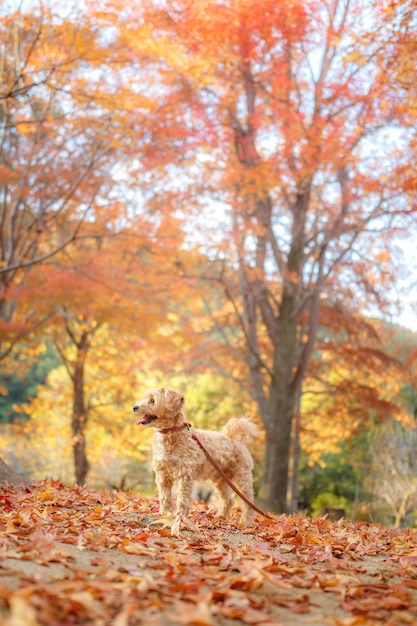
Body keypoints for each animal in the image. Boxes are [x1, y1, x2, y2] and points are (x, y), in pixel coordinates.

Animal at [133, 386, 258, 520]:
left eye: (152, 400)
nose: (134, 407)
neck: (171, 435)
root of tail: (236, 439)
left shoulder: (184, 475)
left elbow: (182, 498)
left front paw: (180, 516)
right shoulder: (162, 475)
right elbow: (164, 497)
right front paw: (165, 514)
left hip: (242, 477)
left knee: (248, 502)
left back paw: (245, 522)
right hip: (220, 480)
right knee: (228, 500)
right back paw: (220, 517)